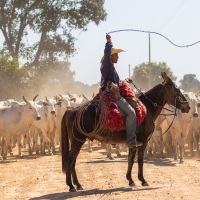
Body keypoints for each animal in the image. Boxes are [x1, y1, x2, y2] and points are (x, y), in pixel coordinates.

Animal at [61, 72, 191, 192]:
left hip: (77, 141)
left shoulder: (133, 142)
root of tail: (71, 110)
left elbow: (131, 160)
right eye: (177, 89)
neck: (146, 108)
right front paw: (143, 180)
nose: (188, 107)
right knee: (70, 159)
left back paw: (77, 184)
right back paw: (71, 185)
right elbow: (140, 160)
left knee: (73, 160)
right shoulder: (143, 140)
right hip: (78, 140)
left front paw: (130, 180)